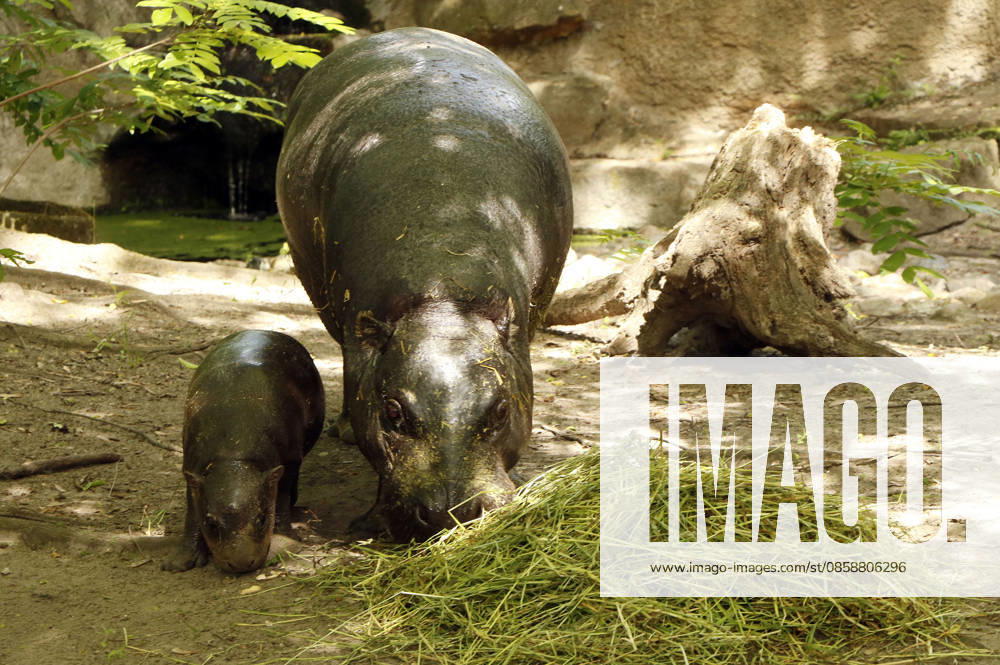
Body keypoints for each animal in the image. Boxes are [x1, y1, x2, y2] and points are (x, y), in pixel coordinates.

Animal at [162, 330, 325, 573]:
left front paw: (285, 539)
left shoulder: (288, 461)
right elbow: (193, 511)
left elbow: (281, 499)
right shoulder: (193, 470)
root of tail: (265, 330)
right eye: (211, 523)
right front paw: (177, 564)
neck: (233, 458)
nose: (241, 563)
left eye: (262, 519)